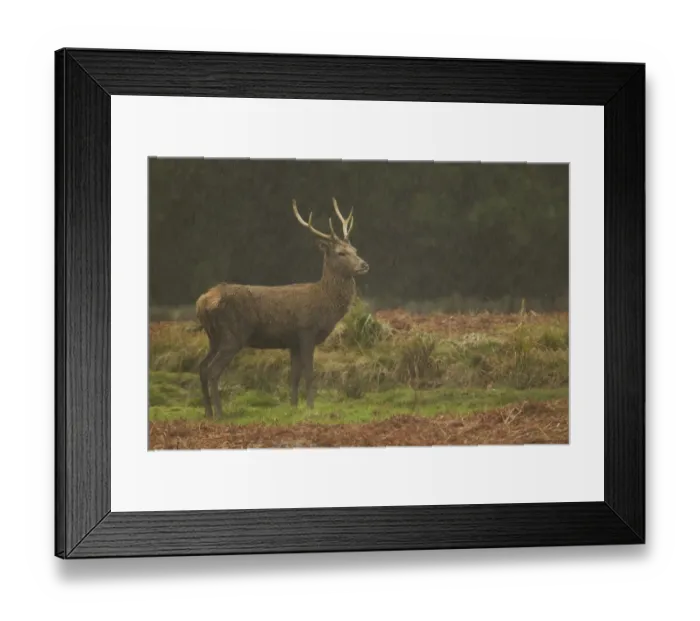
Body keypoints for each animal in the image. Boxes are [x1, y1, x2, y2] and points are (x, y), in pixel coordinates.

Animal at [195, 198, 370, 419]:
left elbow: (294, 375)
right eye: (341, 253)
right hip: (232, 335)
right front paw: (311, 407)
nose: (364, 265)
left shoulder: (292, 341)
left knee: (202, 367)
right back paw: (219, 413)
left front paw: (293, 407)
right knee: (212, 370)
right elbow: (309, 372)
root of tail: (202, 302)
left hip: (213, 337)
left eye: (355, 249)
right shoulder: (306, 330)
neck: (324, 303)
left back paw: (208, 412)